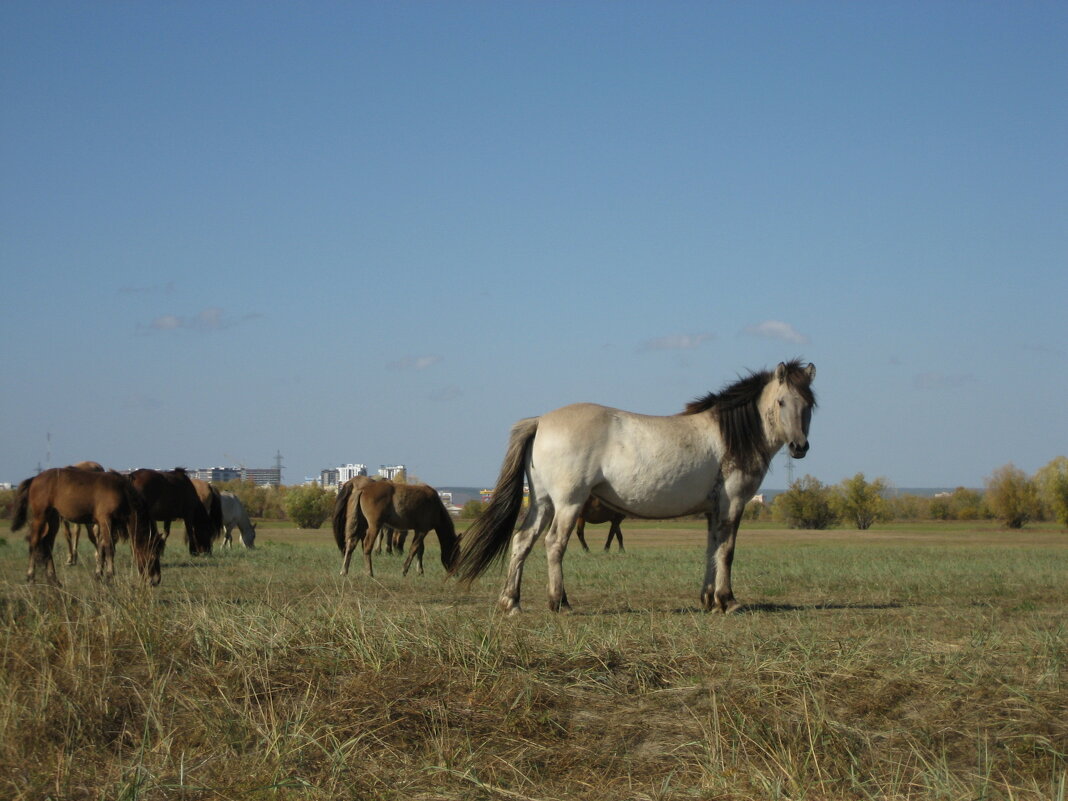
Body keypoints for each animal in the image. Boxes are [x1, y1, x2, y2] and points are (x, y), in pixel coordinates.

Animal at [9, 467, 162, 585]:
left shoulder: (107, 523)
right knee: (34, 541)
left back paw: (54, 579)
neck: (122, 492)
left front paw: (99, 575)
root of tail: (35, 478)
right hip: (40, 516)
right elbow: (109, 548)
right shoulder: (106, 520)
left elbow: (101, 547)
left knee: (47, 544)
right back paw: (30, 577)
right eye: (153, 555)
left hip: (53, 519)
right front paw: (109, 577)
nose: (155, 580)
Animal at [450, 360, 815, 619]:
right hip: (568, 503)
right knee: (554, 544)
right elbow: (727, 551)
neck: (729, 436)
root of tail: (540, 420)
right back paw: (560, 603)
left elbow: (711, 550)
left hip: (542, 502)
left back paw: (511, 602)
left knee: (522, 542)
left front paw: (709, 600)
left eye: (808, 404)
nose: (799, 447)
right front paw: (728, 601)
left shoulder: (713, 510)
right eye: (781, 402)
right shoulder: (733, 503)